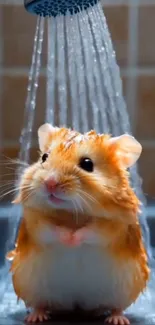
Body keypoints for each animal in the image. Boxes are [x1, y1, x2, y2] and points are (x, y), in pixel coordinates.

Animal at [6, 123, 150, 322]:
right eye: (44, 157)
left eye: (87, 164)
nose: (50, 183)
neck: (72, 213)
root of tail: (78, 308)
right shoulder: (36, 219)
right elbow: (51, 229)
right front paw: (68, 238)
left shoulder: (114, 225)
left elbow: (91, 231)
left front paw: (73, 238)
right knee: (39, 304)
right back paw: (35, 317)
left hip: (127, 289)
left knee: (116, 308)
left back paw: (118, 319)